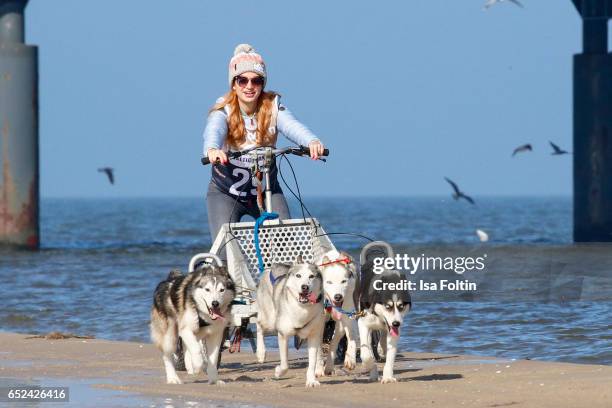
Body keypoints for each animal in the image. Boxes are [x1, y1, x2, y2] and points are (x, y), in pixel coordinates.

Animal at [256, 258, 328, 388]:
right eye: (298, 275)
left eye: (311, 276)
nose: (304, 287)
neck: (302, 308)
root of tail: (270, 268)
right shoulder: (283, 335)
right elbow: (285, 365)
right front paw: (278, 372)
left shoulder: (313, 335)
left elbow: (312, 362)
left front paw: (311, 380)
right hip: (270, 319)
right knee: (259, 325)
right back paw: (261, 353)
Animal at [316, 250, 358, 378]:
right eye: (329, 282)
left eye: (343, 281)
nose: (338, 296)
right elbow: (317, 349)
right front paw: (318, 368)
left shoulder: (349, 315)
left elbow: (352, 336)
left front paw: (350, 359)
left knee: (335, 339)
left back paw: (329, 365)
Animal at [358, 241, 412, 384]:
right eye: (388, 306)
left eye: (401, 306)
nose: (396, 323)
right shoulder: (363, 322)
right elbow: (365, 353)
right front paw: (370, 365)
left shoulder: (394, 330)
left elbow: (391, 355)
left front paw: (387, 376)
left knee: (382, 337)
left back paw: (381, 349)